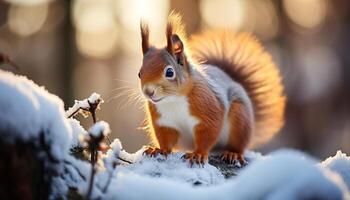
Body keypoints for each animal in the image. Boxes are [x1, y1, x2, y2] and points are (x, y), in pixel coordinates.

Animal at [137, 12, 284, 166]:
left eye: (170, 72)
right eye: (139, 73)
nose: (148, 92)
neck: (172, 100)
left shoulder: (208, 108)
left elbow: (208, 133)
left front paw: (198, 154)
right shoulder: (164, 122)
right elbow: (165, 139)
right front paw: (159, 150)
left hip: (240, 119)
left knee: (238, 144)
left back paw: (233, 154)